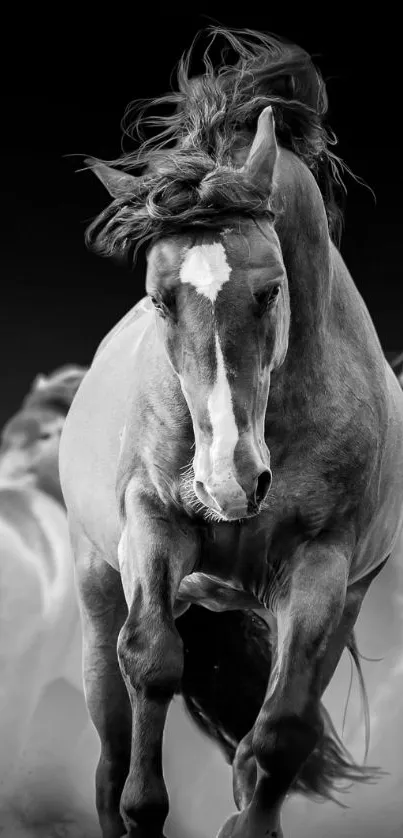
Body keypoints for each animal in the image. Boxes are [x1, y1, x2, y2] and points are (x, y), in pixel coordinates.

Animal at [59, 26, 403, 838]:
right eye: (158, 299)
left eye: (271, 290)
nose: (228, 482)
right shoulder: (151, 524)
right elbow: (153, 662)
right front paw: (145, 812)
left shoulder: (322, 566)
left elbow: (278, 734)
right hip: (96, 587)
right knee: (110, 748)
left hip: (342, 600)